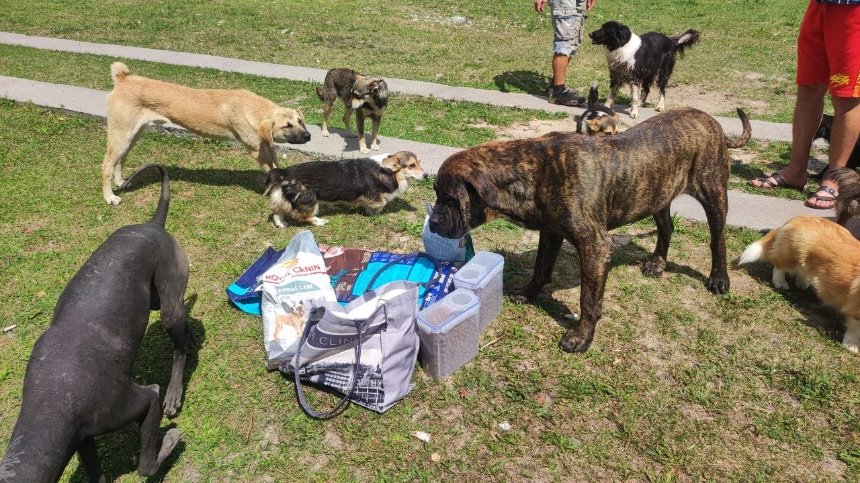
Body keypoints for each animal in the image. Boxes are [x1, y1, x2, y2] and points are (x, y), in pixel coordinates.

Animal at [103, 61, 312, 205]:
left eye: (300, 121)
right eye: (287, 125)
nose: (308, 136)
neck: (252, 108)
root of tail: (123, 79)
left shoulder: (267, 145)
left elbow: (277, 167)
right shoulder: (256, 151)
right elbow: (272, 171)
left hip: (133, 135)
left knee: (120, 159)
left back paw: (121, 182)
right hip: (121, 134)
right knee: (107, 165)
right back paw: (110, 197)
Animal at [430, 108, 752, 354]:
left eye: (450, 199)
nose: (432, 222)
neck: (530, 171)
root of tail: (711, 119)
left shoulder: (595, 247)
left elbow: (588, 300)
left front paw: (581, 337)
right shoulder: (551, 232)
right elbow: (541, 267)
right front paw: (529, 293)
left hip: (713, 192)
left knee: (718, 239)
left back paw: (719, 279)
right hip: (657, 193)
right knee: (667, 227)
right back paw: (657, 262)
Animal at [732, 217, 860, 354]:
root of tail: (798, 218)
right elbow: (854, 330)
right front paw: (851, 345)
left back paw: (802, 283)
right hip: (793, 255)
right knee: (779, 266)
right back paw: (780, 282)